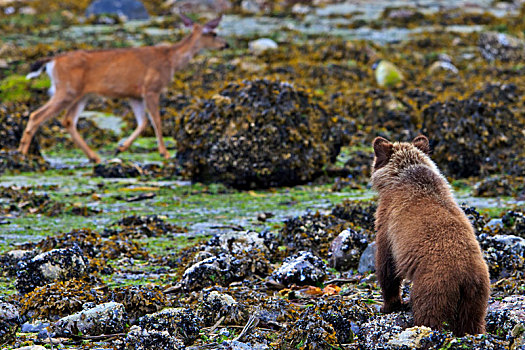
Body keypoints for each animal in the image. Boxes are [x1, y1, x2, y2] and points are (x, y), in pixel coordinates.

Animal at [18, 14, 227, 165]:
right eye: (213, 33)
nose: (225, 44)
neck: (171, 60)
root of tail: (52, 61)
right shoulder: (151, 88)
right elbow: (156, 121)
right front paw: (165, 153)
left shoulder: (134, 95)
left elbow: (143, 122)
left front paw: (121, 148)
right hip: (67, 90)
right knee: (37, 115)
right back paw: (22, 154)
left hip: (81, 95)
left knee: (68, 120)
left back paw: (95, 157)